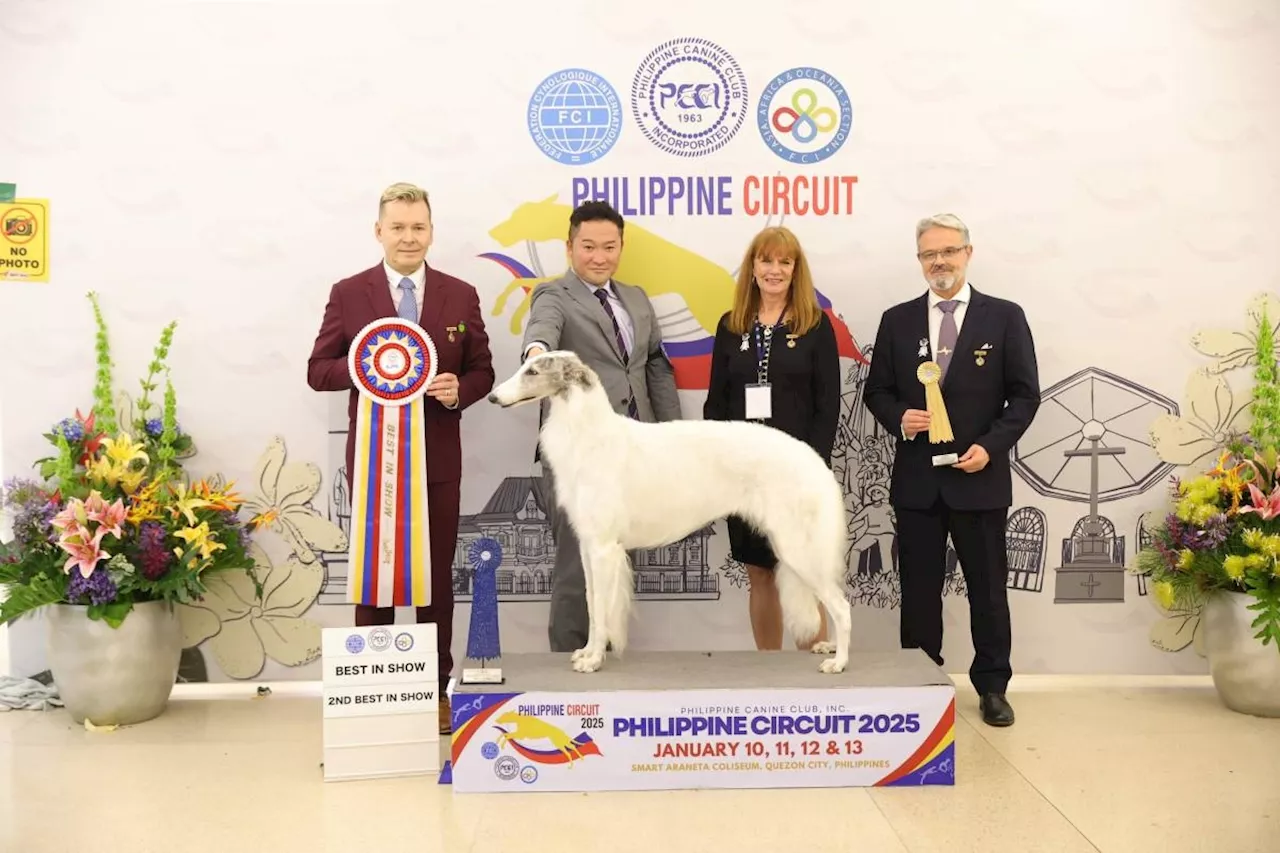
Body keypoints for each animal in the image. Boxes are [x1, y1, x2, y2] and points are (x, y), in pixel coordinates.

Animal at [486, 348, 849, 676]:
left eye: (533, 371)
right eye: (526, 365)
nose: (492, 397)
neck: (589, 434)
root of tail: (814, 460)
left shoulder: (603, 548)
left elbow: (603, 609)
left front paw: (594, 660)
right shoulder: (588, 547)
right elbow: (592, 604)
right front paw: (587, 653)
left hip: (799, 548)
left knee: (842, 607)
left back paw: (839, 661)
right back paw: (829, 646)